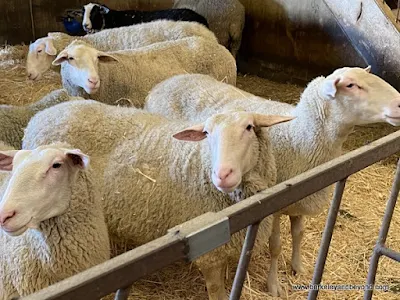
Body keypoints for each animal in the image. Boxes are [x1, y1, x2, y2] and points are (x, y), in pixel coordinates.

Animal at [21, 99, 292, 298]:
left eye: (249, 128)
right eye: (206, 133)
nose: (222, 174)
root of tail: (41, 115)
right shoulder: (210, 254)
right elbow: (216, 291)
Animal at [144, 69, 400, 296]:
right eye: (351, 85)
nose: (399, 103)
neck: (299, 136)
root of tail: (166, 82)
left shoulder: (300, 197)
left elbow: (299, 233)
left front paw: (298, 267)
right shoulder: (273, 206)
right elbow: (275, 246)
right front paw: (274, 285)